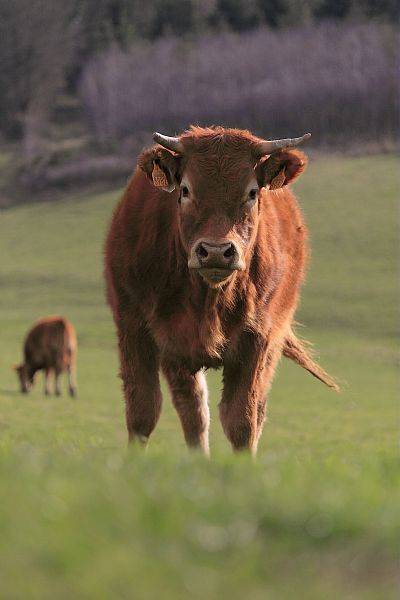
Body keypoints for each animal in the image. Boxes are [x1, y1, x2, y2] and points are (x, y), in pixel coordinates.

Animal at [104, 126, 340, 454]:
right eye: (185, 190)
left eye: (252, 192)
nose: (215, 251)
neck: (209, 299)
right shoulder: (135, 328)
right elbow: (143, 412)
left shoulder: (258, 339)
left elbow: (241, 419)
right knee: (193, 410)